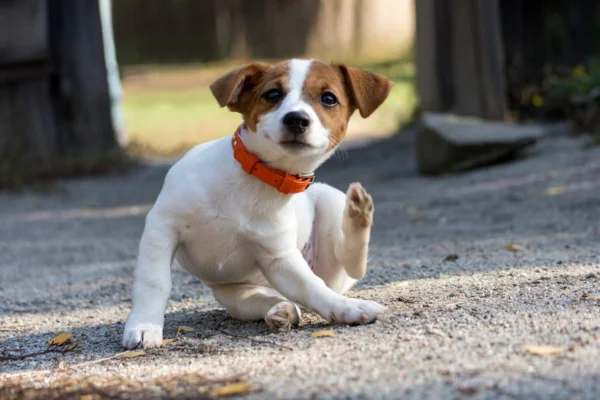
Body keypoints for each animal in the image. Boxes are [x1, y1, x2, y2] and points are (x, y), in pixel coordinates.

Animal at [122, 57, 394, 348]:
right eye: (272, 94)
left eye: (329, 98)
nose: (296, 119)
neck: (255, 181)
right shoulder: (162, 226)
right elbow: (155, 281)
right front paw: (144, 326)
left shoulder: (279, 259)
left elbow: (314, 289)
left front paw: (348, 308)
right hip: (236, 297)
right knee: (277, 299)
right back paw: (282, 310)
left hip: (329, 205)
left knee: (350, 266)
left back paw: (358, 213)